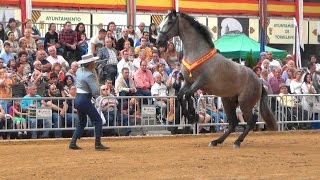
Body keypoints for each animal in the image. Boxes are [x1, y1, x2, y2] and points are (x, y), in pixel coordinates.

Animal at [156, 10, 276, 148]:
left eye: (169, 21)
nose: (158, 40)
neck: (197, 53)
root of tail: (259, 82)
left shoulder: (200, 82)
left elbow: (188, 95)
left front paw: (194, 115)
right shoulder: (187, 82)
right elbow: (181, 96)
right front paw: (192, 116)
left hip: (244, 103)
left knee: (251, 121)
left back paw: (237, 142)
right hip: (228, 102)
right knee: (233, 123)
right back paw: (216, 141)